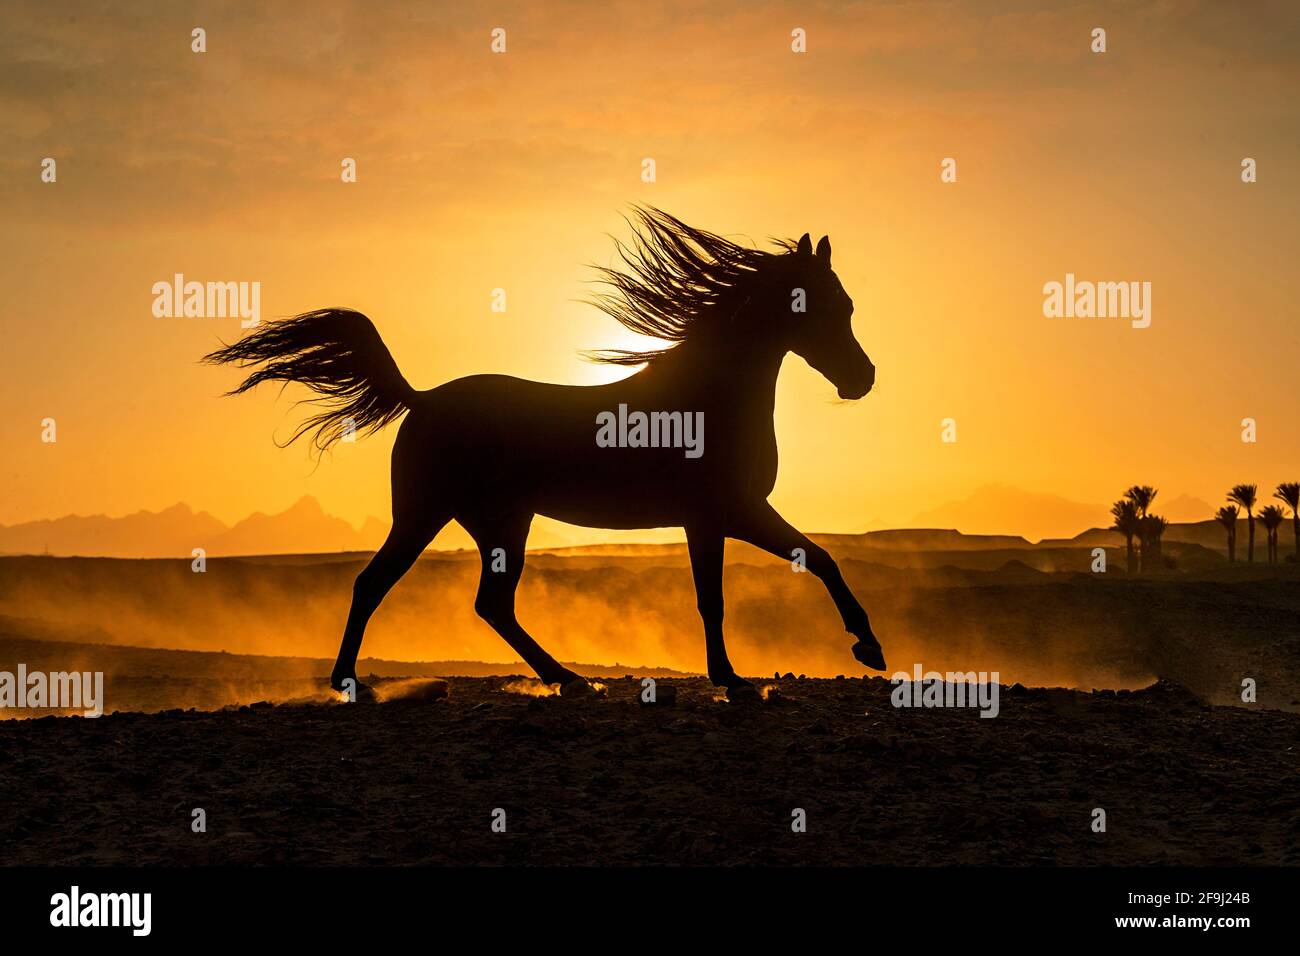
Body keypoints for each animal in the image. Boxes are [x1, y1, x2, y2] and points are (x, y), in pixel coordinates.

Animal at [204, 207, 886, 700]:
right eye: (821, 306)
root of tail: (421, 399)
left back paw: (567, 678)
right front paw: (738, 679)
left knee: (490, 604)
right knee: (379, 584)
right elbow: (720, 595)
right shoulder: (717, 515)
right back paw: (353, 683)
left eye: (848, 306)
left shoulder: (730, 514)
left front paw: (866, 649)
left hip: (497, 522)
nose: (863, 380)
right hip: (433, 514)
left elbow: (816, 559)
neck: (708, 397)